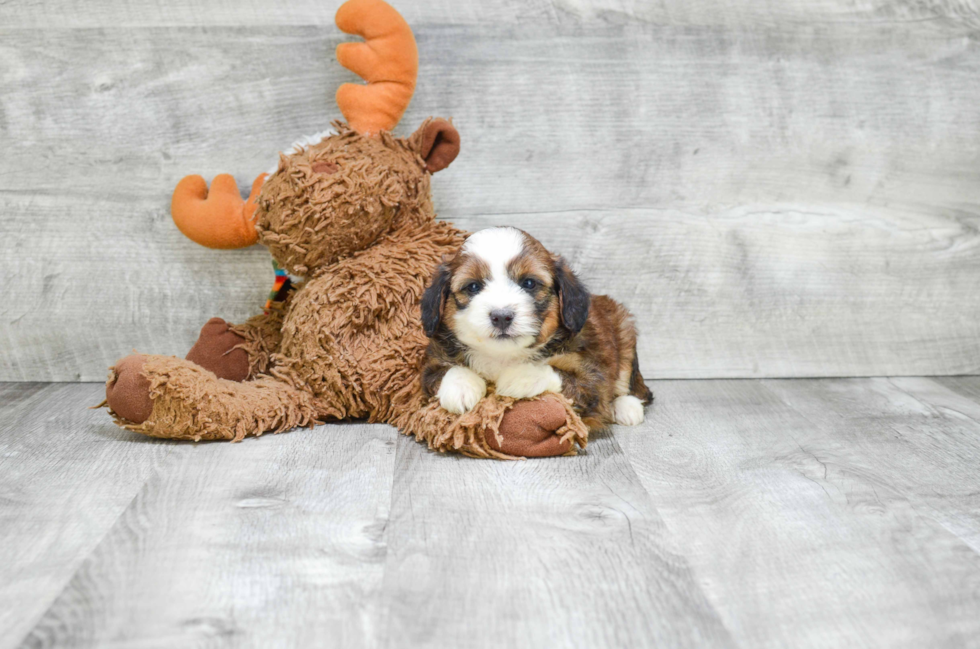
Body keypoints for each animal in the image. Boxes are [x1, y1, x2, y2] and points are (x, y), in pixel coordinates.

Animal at [420, 227, 656, 430]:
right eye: (473, 287)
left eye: (529, 283)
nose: (502, 316)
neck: (503, 355)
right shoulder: (431, 362)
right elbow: (444, 370)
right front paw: (461, 388)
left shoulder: (592, 378)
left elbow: (559, 374)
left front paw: (518, 377)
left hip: (624, 331)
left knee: (627, 381)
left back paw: (627, 408)